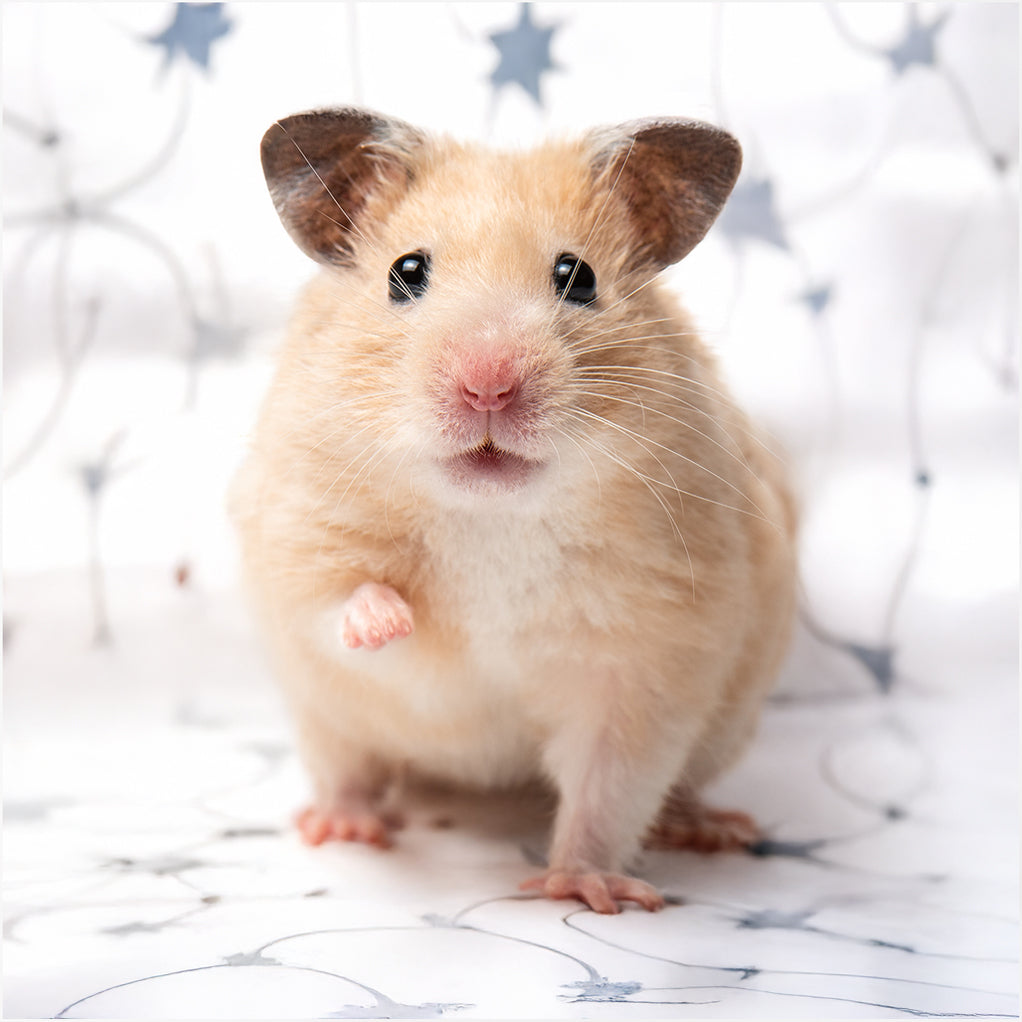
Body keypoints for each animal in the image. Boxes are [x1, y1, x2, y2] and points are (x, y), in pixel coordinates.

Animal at [231, 107, 798, 914]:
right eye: (406, 273)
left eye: (577, 277)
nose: (488, 387)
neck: (491, 517)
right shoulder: (296, 543)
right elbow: (342, 604)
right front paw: (388, 621)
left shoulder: (644, 665)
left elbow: (606, 789)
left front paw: (590, 892)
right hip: (324, 719)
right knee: (351, 770)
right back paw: (341, 827)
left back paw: (711, 829)